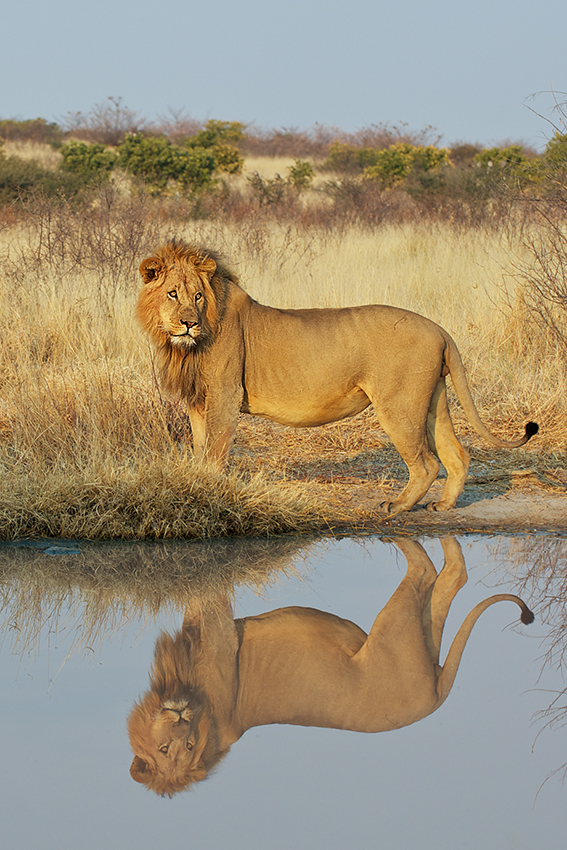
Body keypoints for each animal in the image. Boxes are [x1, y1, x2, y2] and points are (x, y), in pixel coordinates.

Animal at [127, 536, 532, 796]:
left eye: (188, 744)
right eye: (164, 750)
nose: (180, 716)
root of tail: (434, 700)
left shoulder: (222, 639)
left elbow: (205, 597)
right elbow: (193, 604)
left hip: (393, 627)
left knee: (423, 570)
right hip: (422, 634)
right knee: (450, 577)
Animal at [140, 242, 540, 512]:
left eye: (197, 296)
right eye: (172, 294)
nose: (189, 322)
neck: (185, 346)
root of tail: (439, 329)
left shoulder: (224, 394)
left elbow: (216, 447)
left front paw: (214, 490)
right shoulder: (198, 400)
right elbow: (199, 447)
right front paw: (200, 482)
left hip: (399, 406)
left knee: (427, 463)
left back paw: (398, 506)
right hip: (432, 401)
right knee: (457, 454)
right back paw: (442, 505)